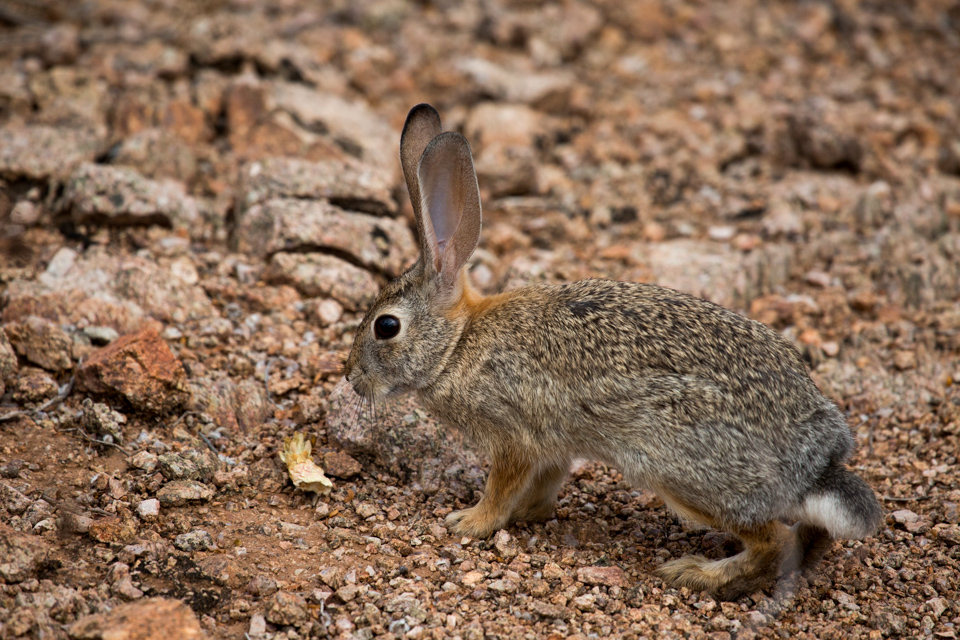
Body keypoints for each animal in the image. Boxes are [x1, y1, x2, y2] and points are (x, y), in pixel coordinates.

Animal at [344, 103, 882, 600]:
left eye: (386, 327)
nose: (351, 377)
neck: (456, 345)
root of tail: (815, 464)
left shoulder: (513, 433)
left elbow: (502, 487)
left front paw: (470, 521)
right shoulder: (553, 445)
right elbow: (546, 483)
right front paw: (529, 513)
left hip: (683, 473)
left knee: (772, 543)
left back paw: (697, 575)